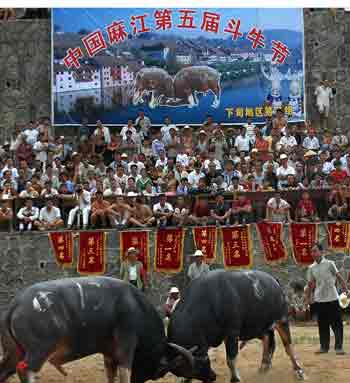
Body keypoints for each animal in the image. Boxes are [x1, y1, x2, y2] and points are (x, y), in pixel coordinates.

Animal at [0, 278, 194, 383]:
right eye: (160, 371)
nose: (145, 378)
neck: (136, 306)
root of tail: (16, 304)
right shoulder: (127, 343)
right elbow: (125, 372)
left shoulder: (108, 353)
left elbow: (110, 374)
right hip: (39, 351)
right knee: (25, 370)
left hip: (14, 353)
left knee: (5, 370)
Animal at [167, 272, 304, 382]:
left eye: (200, 365)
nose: (212, 377)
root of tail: (275, 282)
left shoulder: (231, 333)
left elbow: (231, 360)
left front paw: (235, 379)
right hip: (261, 326)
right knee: (268, 340)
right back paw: (264, 366)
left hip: (282, 320)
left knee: (288, 345)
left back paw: (298, 370)